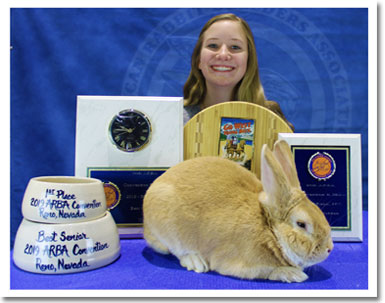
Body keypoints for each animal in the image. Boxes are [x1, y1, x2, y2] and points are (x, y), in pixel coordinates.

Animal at [142, 141, 332, 284]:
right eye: (301, 224)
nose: (329, 249)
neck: (268, 230)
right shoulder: (242, 264)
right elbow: (269, 272)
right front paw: (294, 274)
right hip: (168, 230)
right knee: (177, 251)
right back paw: (196, 262)